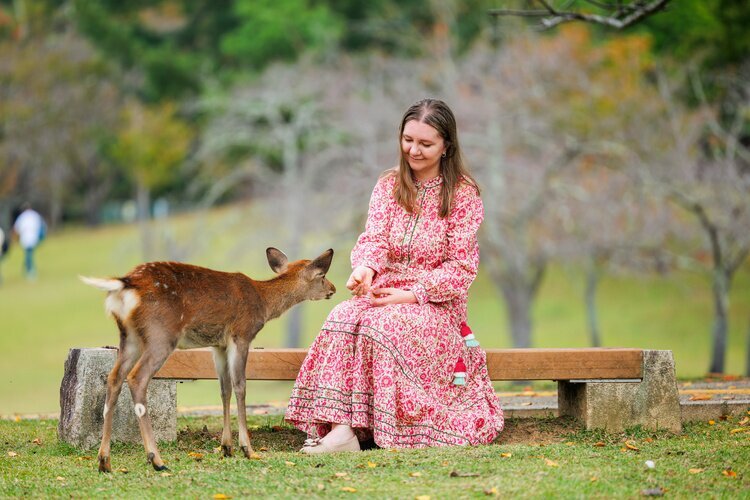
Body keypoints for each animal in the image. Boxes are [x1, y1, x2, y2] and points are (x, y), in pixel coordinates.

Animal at [80, 247, 335, 473]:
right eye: (322, 276)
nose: (332, 288)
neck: (263, 303)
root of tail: (126, 284)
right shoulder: (241, 334)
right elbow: (240, 386)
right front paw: (248, 449)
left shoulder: (218, 345)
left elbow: (224, 389)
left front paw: (226, 447)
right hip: (161, 334)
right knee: (136, 377)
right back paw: (157, 460)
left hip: (129, 337)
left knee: (114, 377)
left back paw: (104, 461)